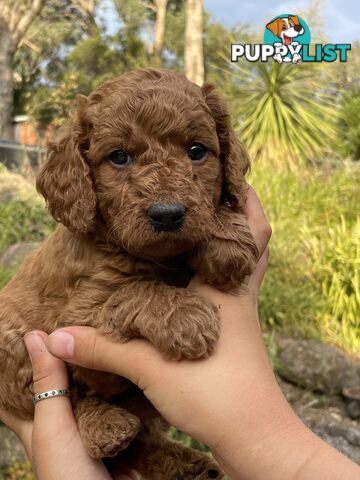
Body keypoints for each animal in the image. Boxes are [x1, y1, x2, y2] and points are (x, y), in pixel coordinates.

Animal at [0, 68, 258, 480]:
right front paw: (186, 316)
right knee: (79, 403)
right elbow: (133, 290)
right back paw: (106, 428)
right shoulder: (75, 317)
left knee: (142, 443)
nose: (167, 214)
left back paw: (189, 467)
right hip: (14, 348)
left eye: (196, 151)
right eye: (119, 157)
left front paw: (226, 239)